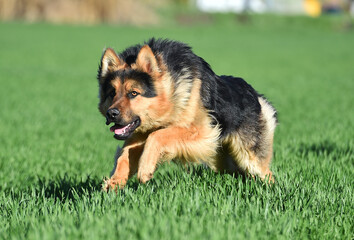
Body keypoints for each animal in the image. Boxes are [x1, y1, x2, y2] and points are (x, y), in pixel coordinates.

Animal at [97, 38, 276, 190]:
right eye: (112, 93)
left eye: (133, 93)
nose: (111, 114)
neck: (170, 95)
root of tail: (256, 96)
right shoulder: (139, 134)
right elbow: (125, 154)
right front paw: (114, 182)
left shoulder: (201, 133)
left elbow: (156, 136)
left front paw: (145, 169)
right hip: (222, 160)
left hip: (249, 157)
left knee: (267, 174)